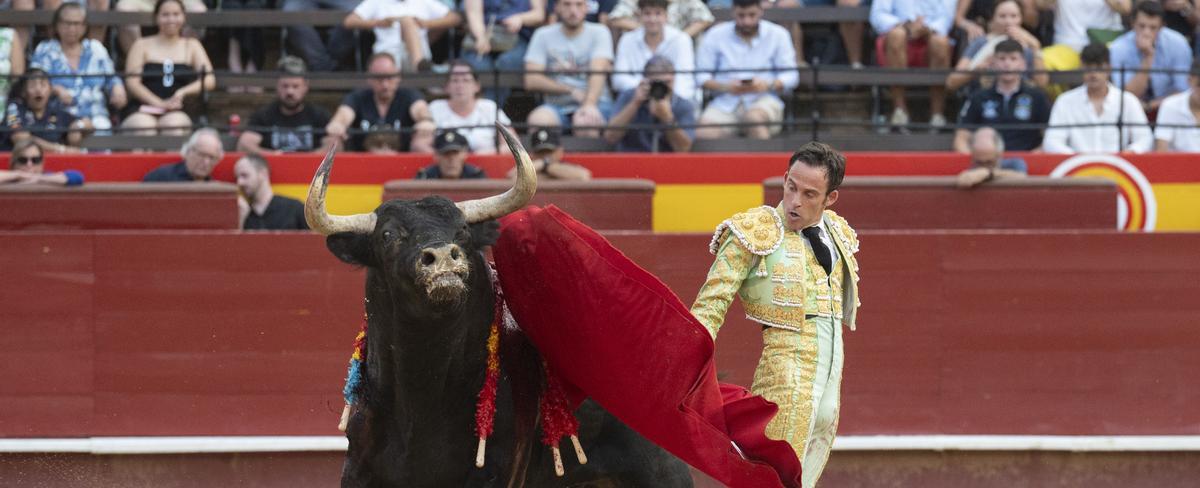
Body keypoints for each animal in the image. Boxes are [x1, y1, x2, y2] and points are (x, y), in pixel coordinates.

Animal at [304, 127, 696, 488]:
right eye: (387, 235)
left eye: (462, 230)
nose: (443, 257)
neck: (423, 386)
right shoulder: (359, 469)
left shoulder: (494, 472)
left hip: (662, 470)